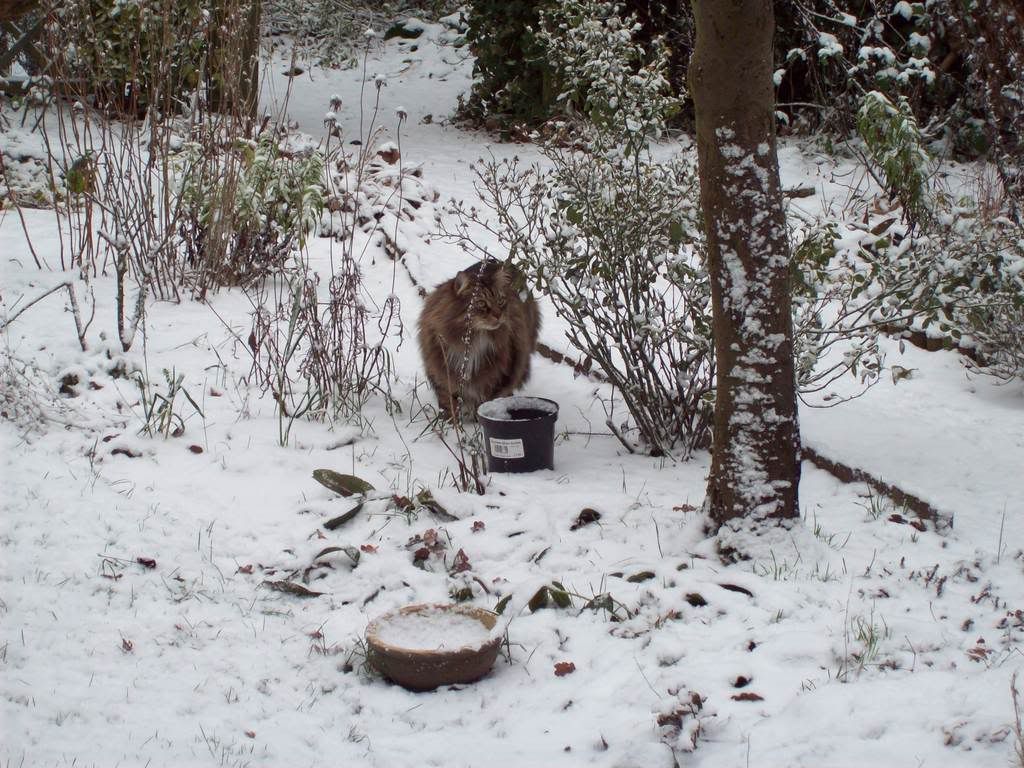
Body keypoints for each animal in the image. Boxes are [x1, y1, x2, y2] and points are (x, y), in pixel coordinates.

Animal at [417, 264, 540, 421]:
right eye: (481, 303)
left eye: (500, 301)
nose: (498, 315)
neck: (473, 341)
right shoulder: (443, 375)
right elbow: (448, 405)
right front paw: (450, 423)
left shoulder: (496, 377)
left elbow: (486, 404)